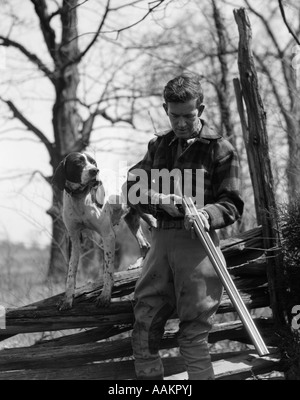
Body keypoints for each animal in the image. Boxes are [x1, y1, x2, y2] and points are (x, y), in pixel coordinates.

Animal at [52, 152, 152, 310]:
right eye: (78, 162)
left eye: (93, 162)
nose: (95, 171)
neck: (80, 197)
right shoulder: (74, 239)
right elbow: (71, 273)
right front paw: (67, 299)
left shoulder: (108, 235)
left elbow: (107, 270)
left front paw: (105, 296)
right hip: (132, 219)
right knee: (145, 245)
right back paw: (137, 265)